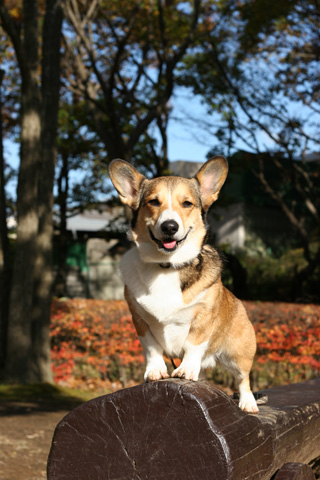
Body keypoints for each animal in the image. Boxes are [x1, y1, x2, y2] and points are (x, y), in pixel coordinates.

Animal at [109, 157, 258, 412]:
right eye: (153, 202)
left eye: (187, 203)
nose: (169, 226)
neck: (166, 266)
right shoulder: (140, 320)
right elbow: (152, 348)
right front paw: (155, 371)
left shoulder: (202, 318)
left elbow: (193, 344)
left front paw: (187, 369)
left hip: (239, 354)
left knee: (243, 379)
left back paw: (248, 402)